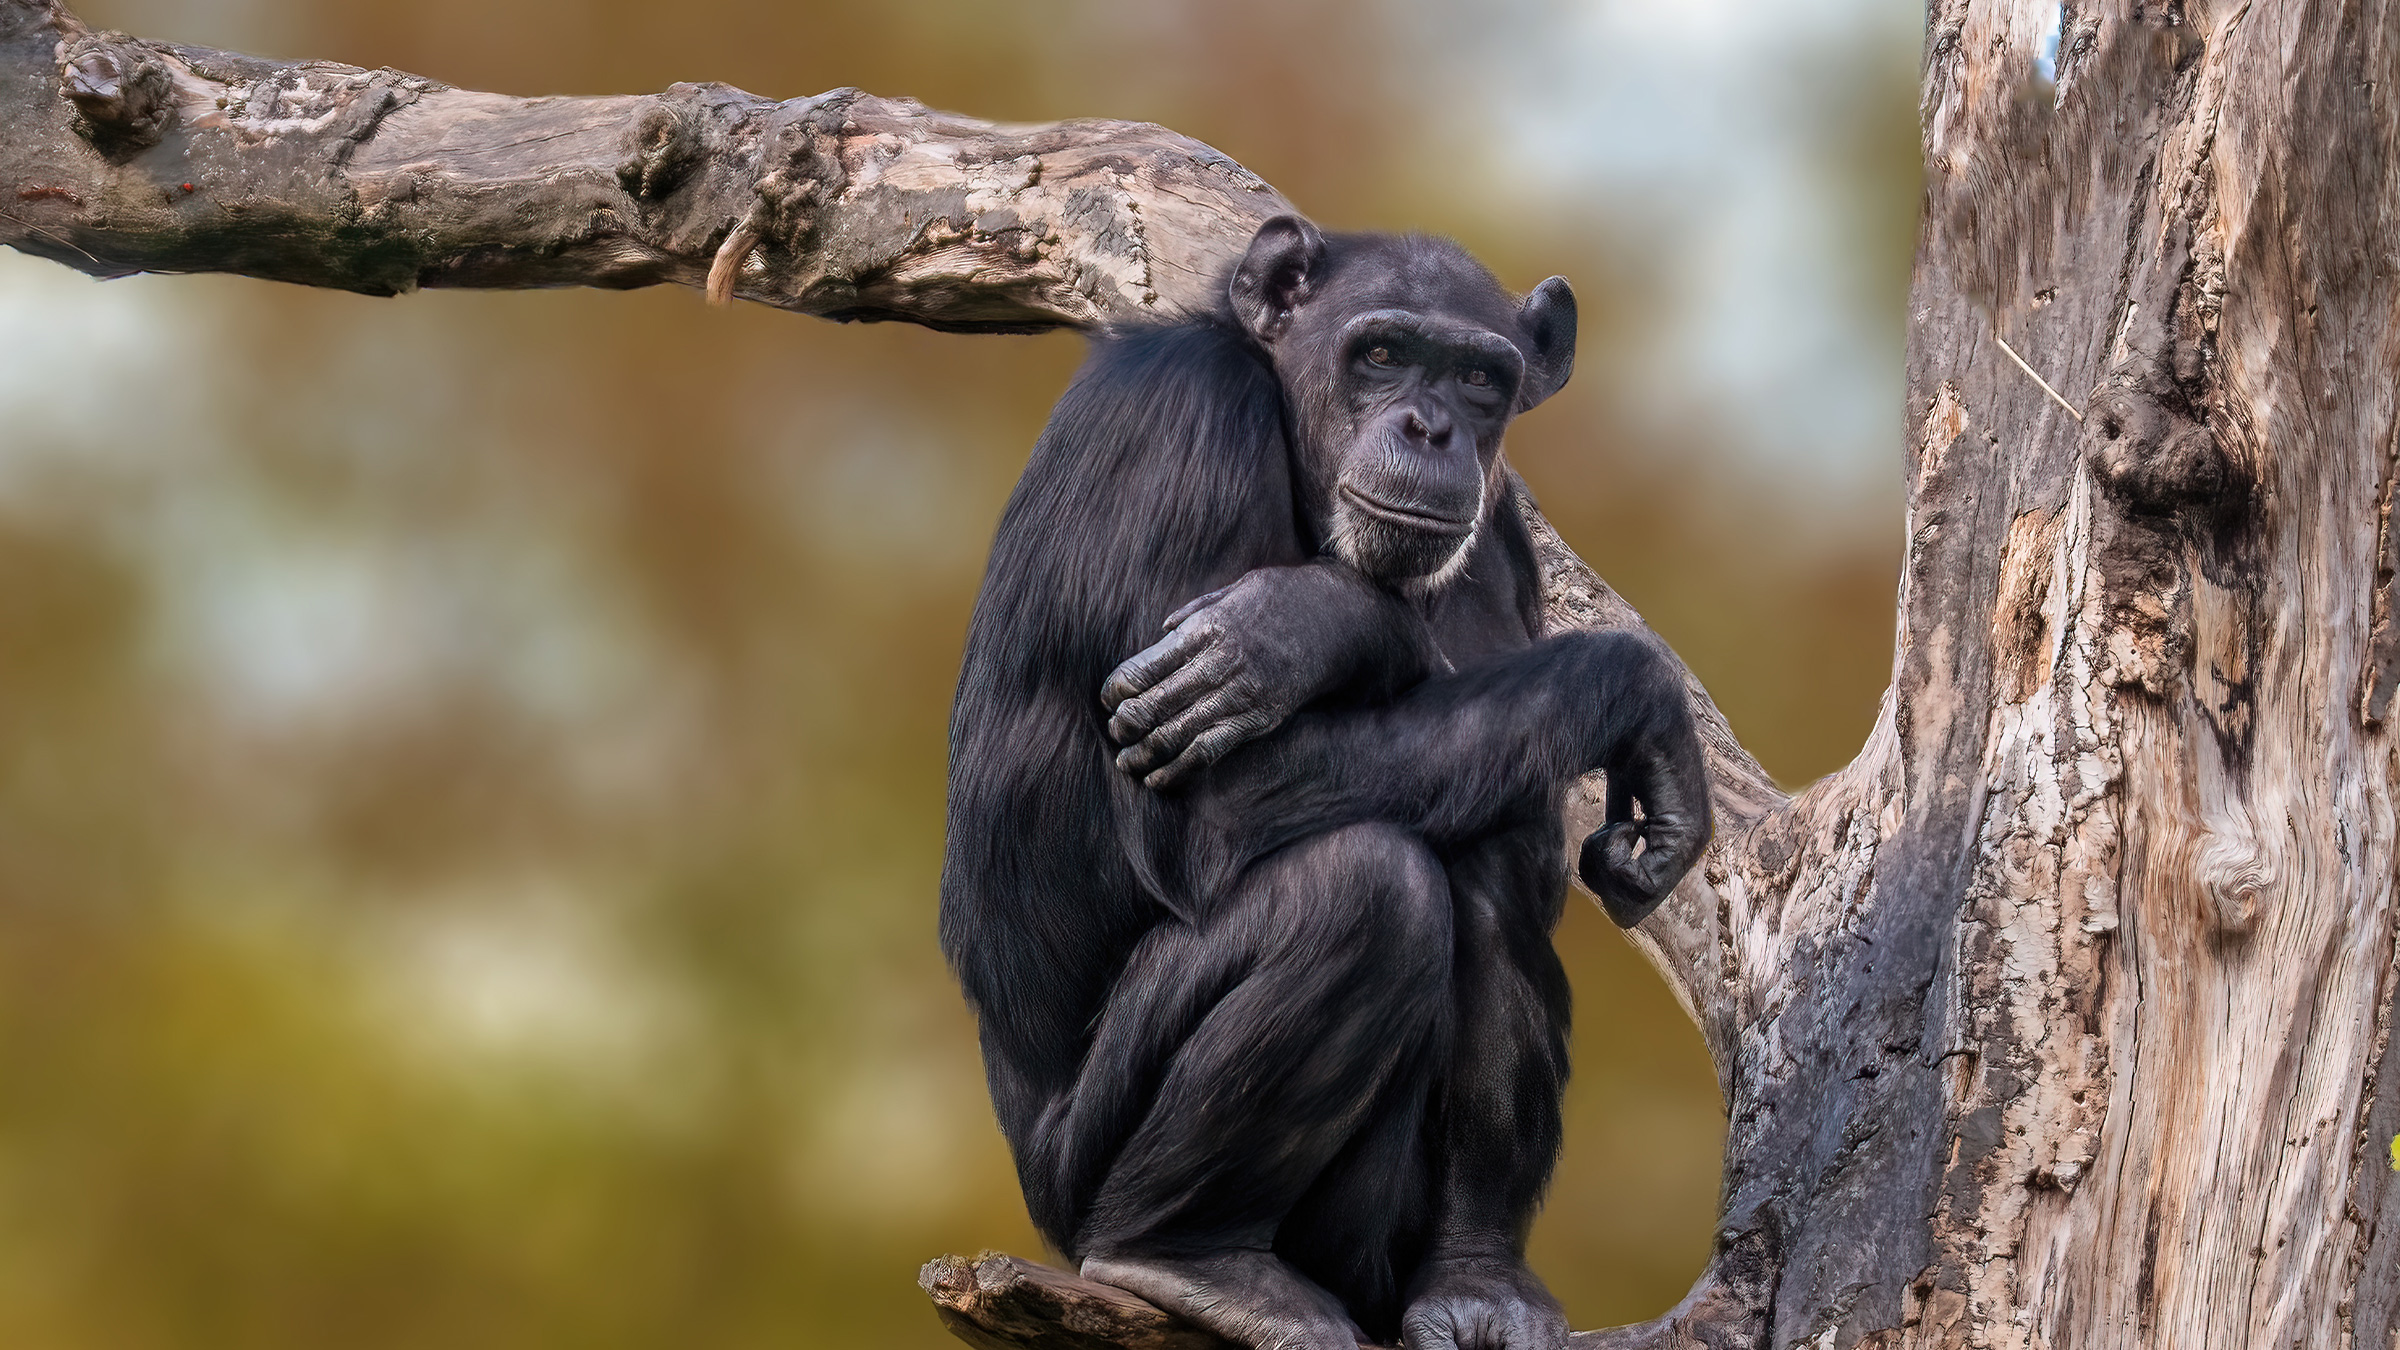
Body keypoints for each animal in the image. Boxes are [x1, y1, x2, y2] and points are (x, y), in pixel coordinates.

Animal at [936, 214, 1708, 1345]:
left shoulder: (1498, 540)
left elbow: (1522, 836)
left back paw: (1475, 1278)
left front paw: (1306, 624)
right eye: (1381, 353)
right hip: (1082, 1175)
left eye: (1480, 378)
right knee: (1364, 887)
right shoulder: (1183, 425)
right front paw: (1333, 623)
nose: (1431, 428)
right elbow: (1202, 811)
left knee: (1472, 864)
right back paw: (1189, 1256)